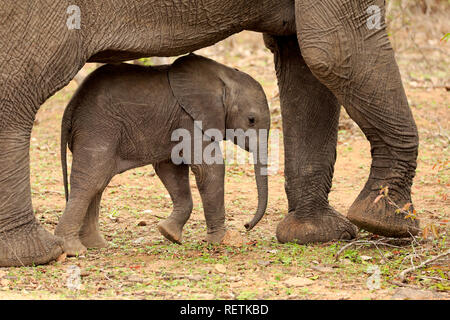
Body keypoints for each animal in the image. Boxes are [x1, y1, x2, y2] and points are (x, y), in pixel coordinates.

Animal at [54, 54, 268, 255]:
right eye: (251, 120)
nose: (247, 225)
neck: (224, 75)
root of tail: (71, 106)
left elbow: (171, 170)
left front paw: (169, 233)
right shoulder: (189, 119)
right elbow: (207, 169)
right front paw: (220, 241)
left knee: (98, 182)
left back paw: (96, 246)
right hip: (98, 129)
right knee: (90, 181)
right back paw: (73, 250)